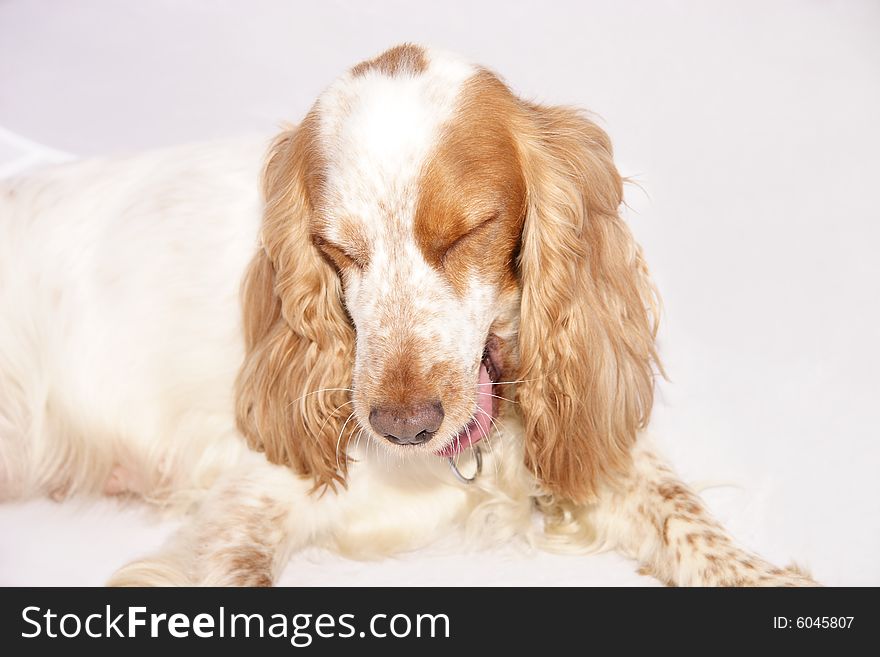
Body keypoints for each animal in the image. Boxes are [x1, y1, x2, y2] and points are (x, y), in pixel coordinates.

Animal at [0, 43, 816, 580]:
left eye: (466, 232)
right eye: (335, 248)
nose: (403, 426)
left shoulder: (586, 440)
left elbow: (686, 516)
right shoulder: (245, 508)